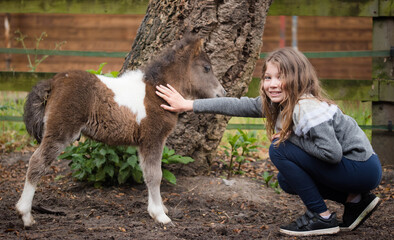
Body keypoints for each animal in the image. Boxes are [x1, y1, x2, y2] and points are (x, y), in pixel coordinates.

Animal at [16, 36, 225, 227]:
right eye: (207, 68)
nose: (222, 93)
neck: (156, 92)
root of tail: (54, 81)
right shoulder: (152, 138)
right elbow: (154, 175)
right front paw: (160, 215)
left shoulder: (144, 142)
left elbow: (147, 173)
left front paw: (159, 208)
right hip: (60, 131)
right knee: (36, 162)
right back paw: (25, 215)